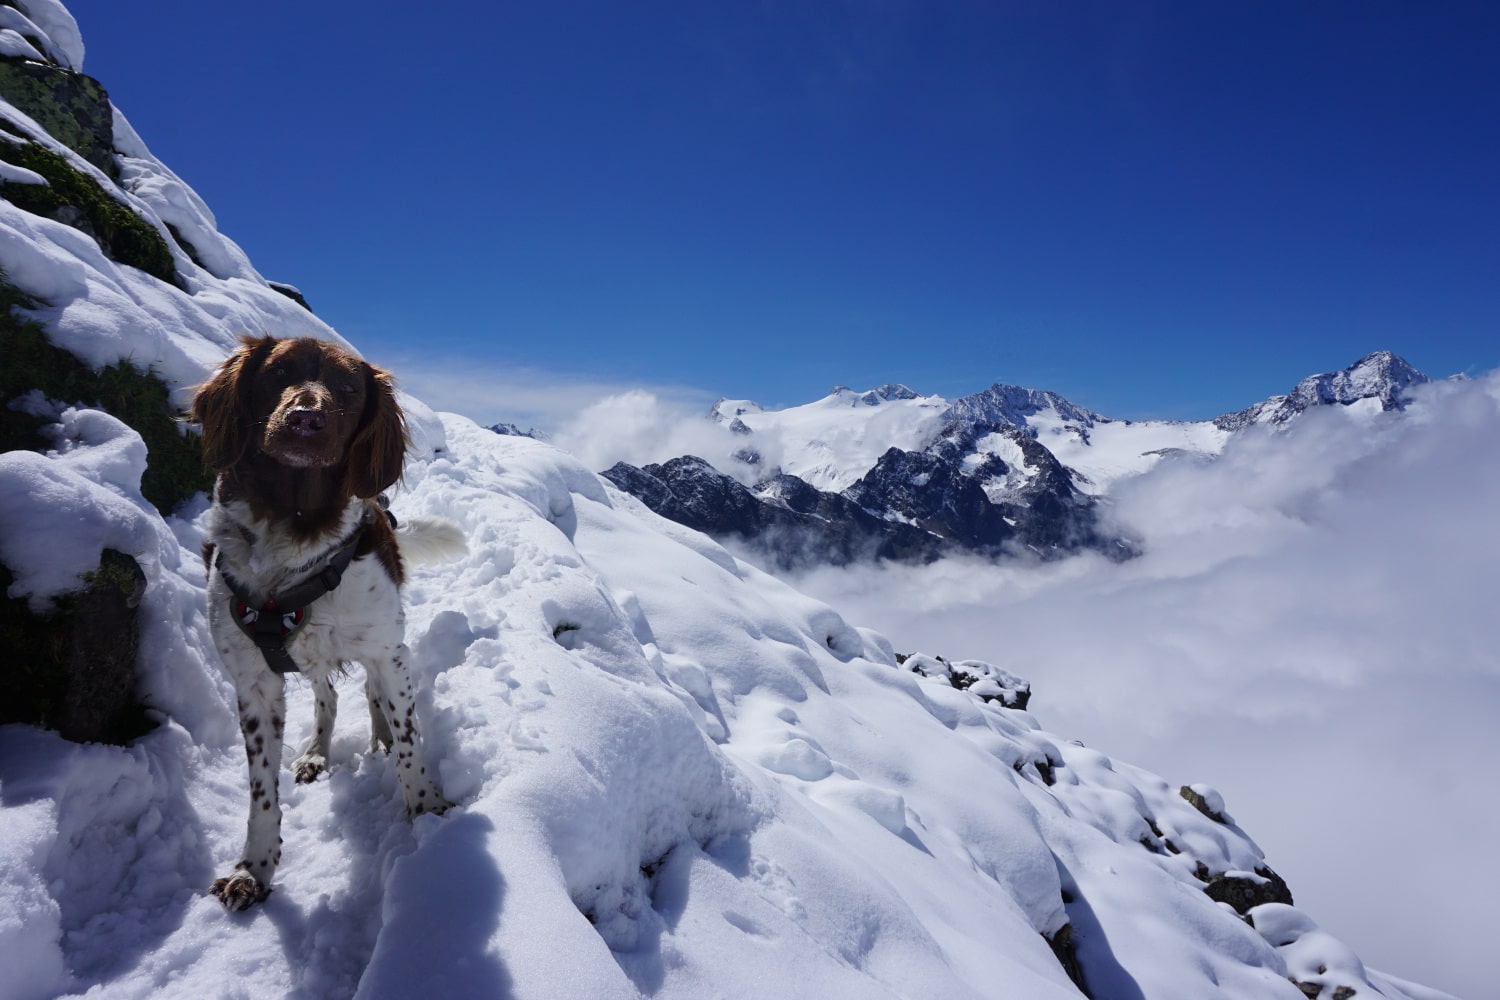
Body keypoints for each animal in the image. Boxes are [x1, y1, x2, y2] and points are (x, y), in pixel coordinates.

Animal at [192, 334, 462, 905]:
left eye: (349, 389)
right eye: (278, 373)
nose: (304, 420)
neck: (292, 531)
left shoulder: (386, 649)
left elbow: (409, 738)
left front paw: (429, 812)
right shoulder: (253, 682)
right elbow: (261, 789)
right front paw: (255, 868)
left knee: (369, 695)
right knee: (328, 695)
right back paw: (317, 752)